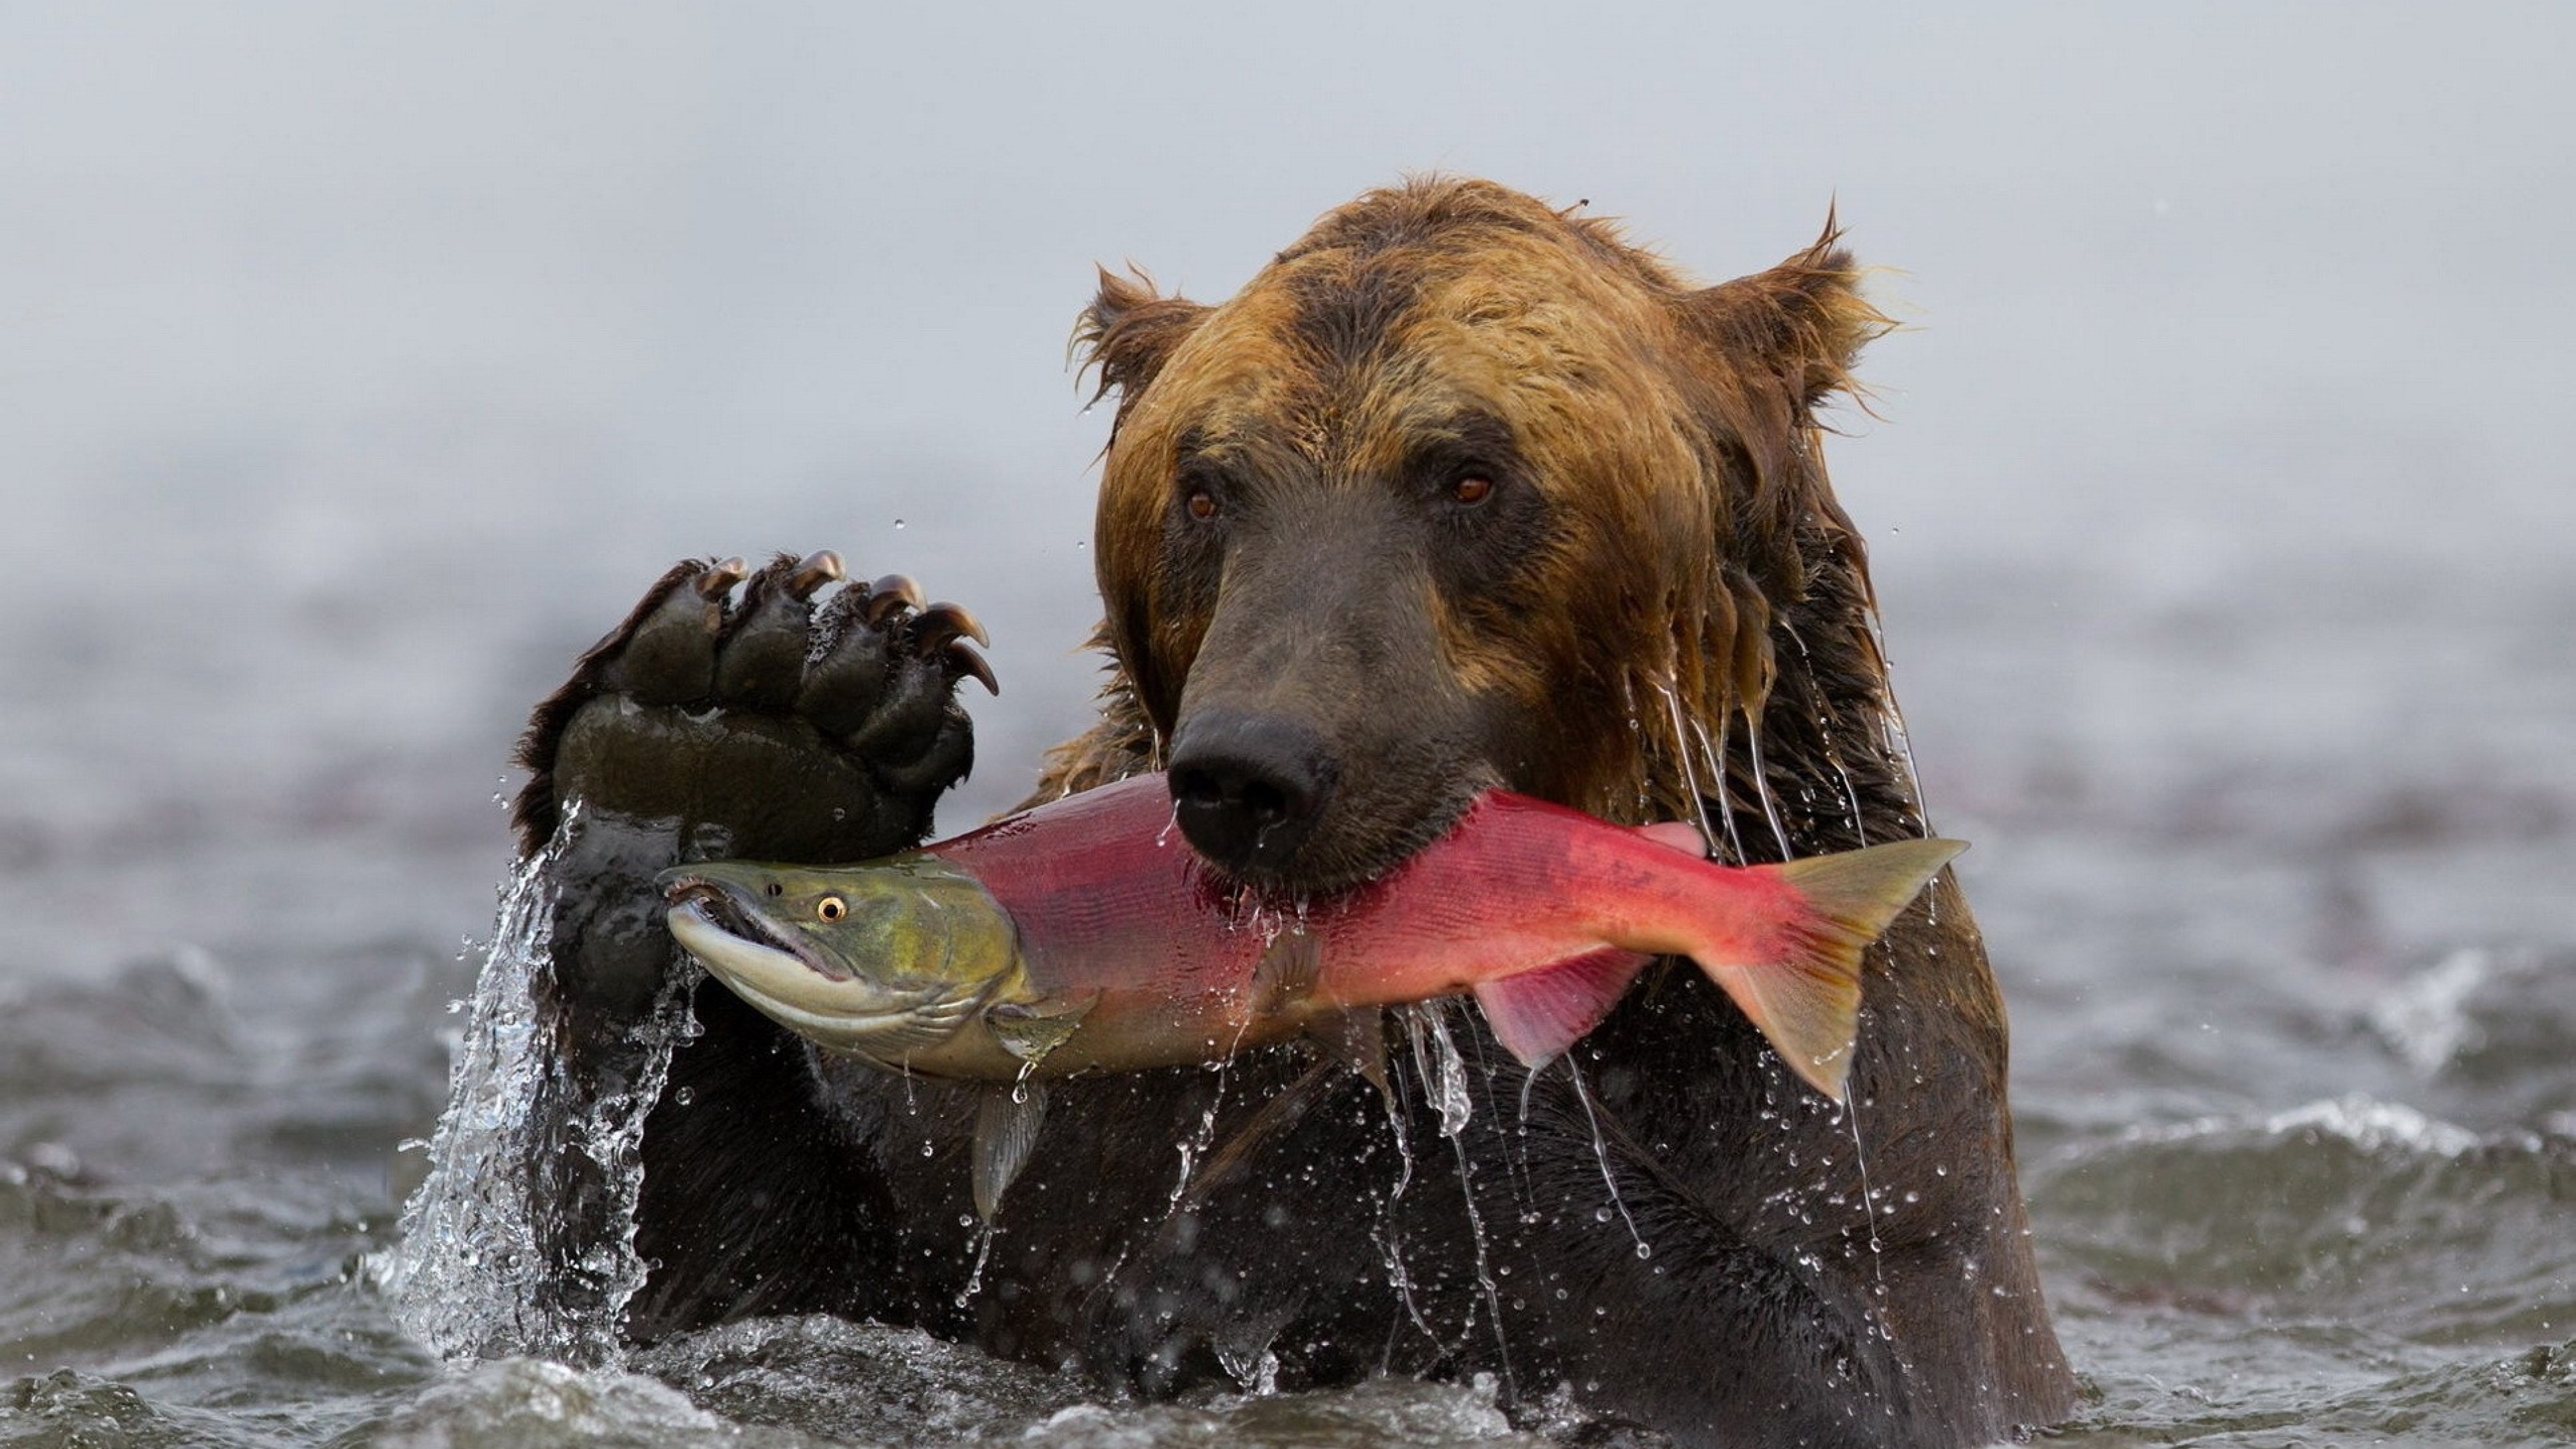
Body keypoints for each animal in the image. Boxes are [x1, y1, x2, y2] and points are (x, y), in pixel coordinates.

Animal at [502, 175, 2071, 1433]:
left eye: (1470, 474)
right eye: (1206, 488)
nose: (1252, 767)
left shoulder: (1857, 1105)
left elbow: (1852, 1363)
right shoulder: (1023, 1142)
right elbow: (744, 1298)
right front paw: (739, 721)